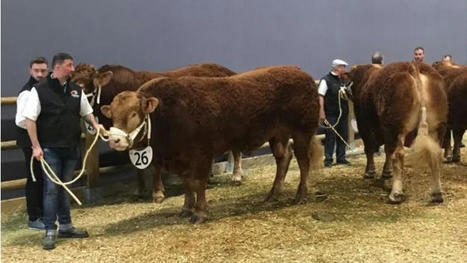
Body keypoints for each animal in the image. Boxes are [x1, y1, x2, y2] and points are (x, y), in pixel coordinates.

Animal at [72, 63, 245, 203]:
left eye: (82, 85)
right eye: (70, 80)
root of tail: (228, 71)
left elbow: (154, 164)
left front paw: (158, 192)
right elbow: (136, 165)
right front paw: (140, 190)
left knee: (236, 149)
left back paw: (236, 176)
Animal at [100, 66, 324, 225]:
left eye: (133, 113)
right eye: (112, 115)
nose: (114, 140)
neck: (167, 114)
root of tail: (301, 73)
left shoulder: (201, 153)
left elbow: (197, 182)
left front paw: (199, 213)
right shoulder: (181, 158)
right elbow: (187, 184)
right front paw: (186, 208)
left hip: (303, 130)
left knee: (303, 161)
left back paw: (300, 195)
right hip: (277, 135)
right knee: (283, 158)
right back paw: (273, 194)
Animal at [348, 62, 450, 204]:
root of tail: (413, 66)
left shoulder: (363, 124)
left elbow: (369, 148)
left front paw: (370, 172)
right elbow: (385, 151)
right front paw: (386, 171)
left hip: (395, 127)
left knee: (397, 154)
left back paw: (395, 194)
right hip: (437, 127)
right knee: (435, 154)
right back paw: (437, 194)